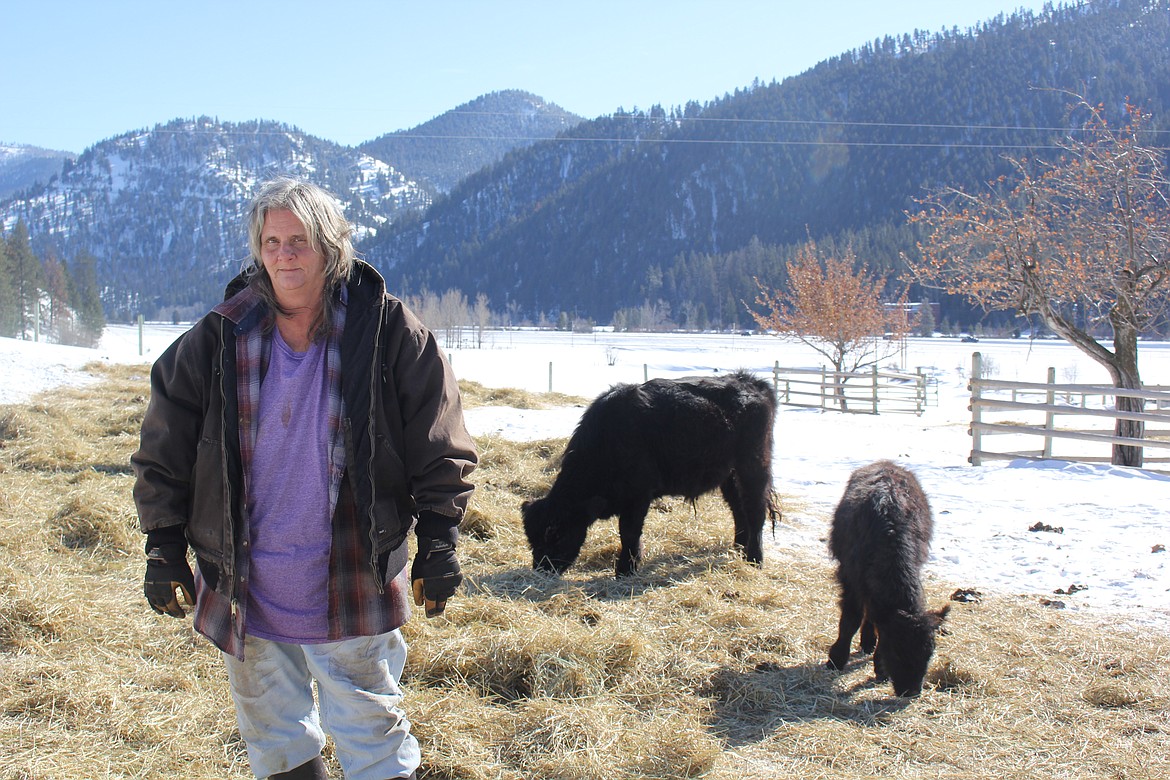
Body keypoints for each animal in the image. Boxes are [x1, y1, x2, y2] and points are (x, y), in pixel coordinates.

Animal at [521, 371, 776, 580]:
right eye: (531, 538)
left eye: (554, 534)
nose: (542, 570)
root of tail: (749, 380)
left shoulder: (638, 495)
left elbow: (629, 532)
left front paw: (626, 570)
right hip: (729, 475)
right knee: (738, 509)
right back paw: (738, 549)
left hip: (753, 466)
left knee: (755, 510)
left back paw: (754, 560)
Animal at [823, 458, 950, 696]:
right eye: (897, 650)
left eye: (929, 652)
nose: (911, 691)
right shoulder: (850, 579)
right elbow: (850, 620)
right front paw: (836, 659)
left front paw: (879, 666)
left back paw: (868, 641)